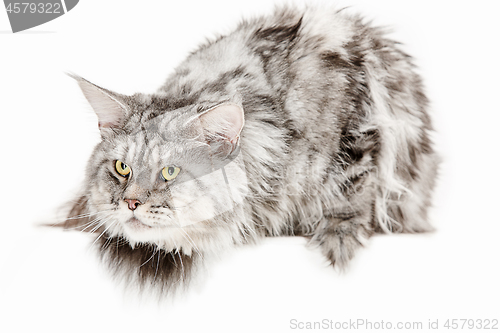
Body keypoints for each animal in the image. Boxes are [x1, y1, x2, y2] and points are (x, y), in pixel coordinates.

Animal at [58, 5, 438, 294]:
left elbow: (351, 189)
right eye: (122, 168)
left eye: (170, 172)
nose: (131, 203)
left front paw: (337, 240)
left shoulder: (357, 125)